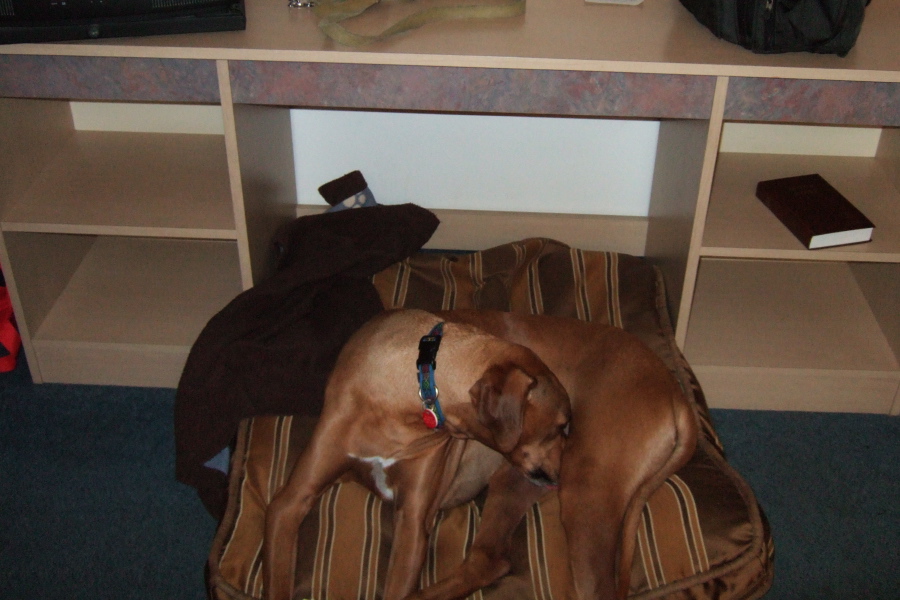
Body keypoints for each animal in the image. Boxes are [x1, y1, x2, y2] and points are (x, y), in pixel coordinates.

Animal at [262, 310, 568, 600]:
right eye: (561, 426)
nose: (563, 474)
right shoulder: (291, 499)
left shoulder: (412, 521)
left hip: (512, 481)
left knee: (489, 560)